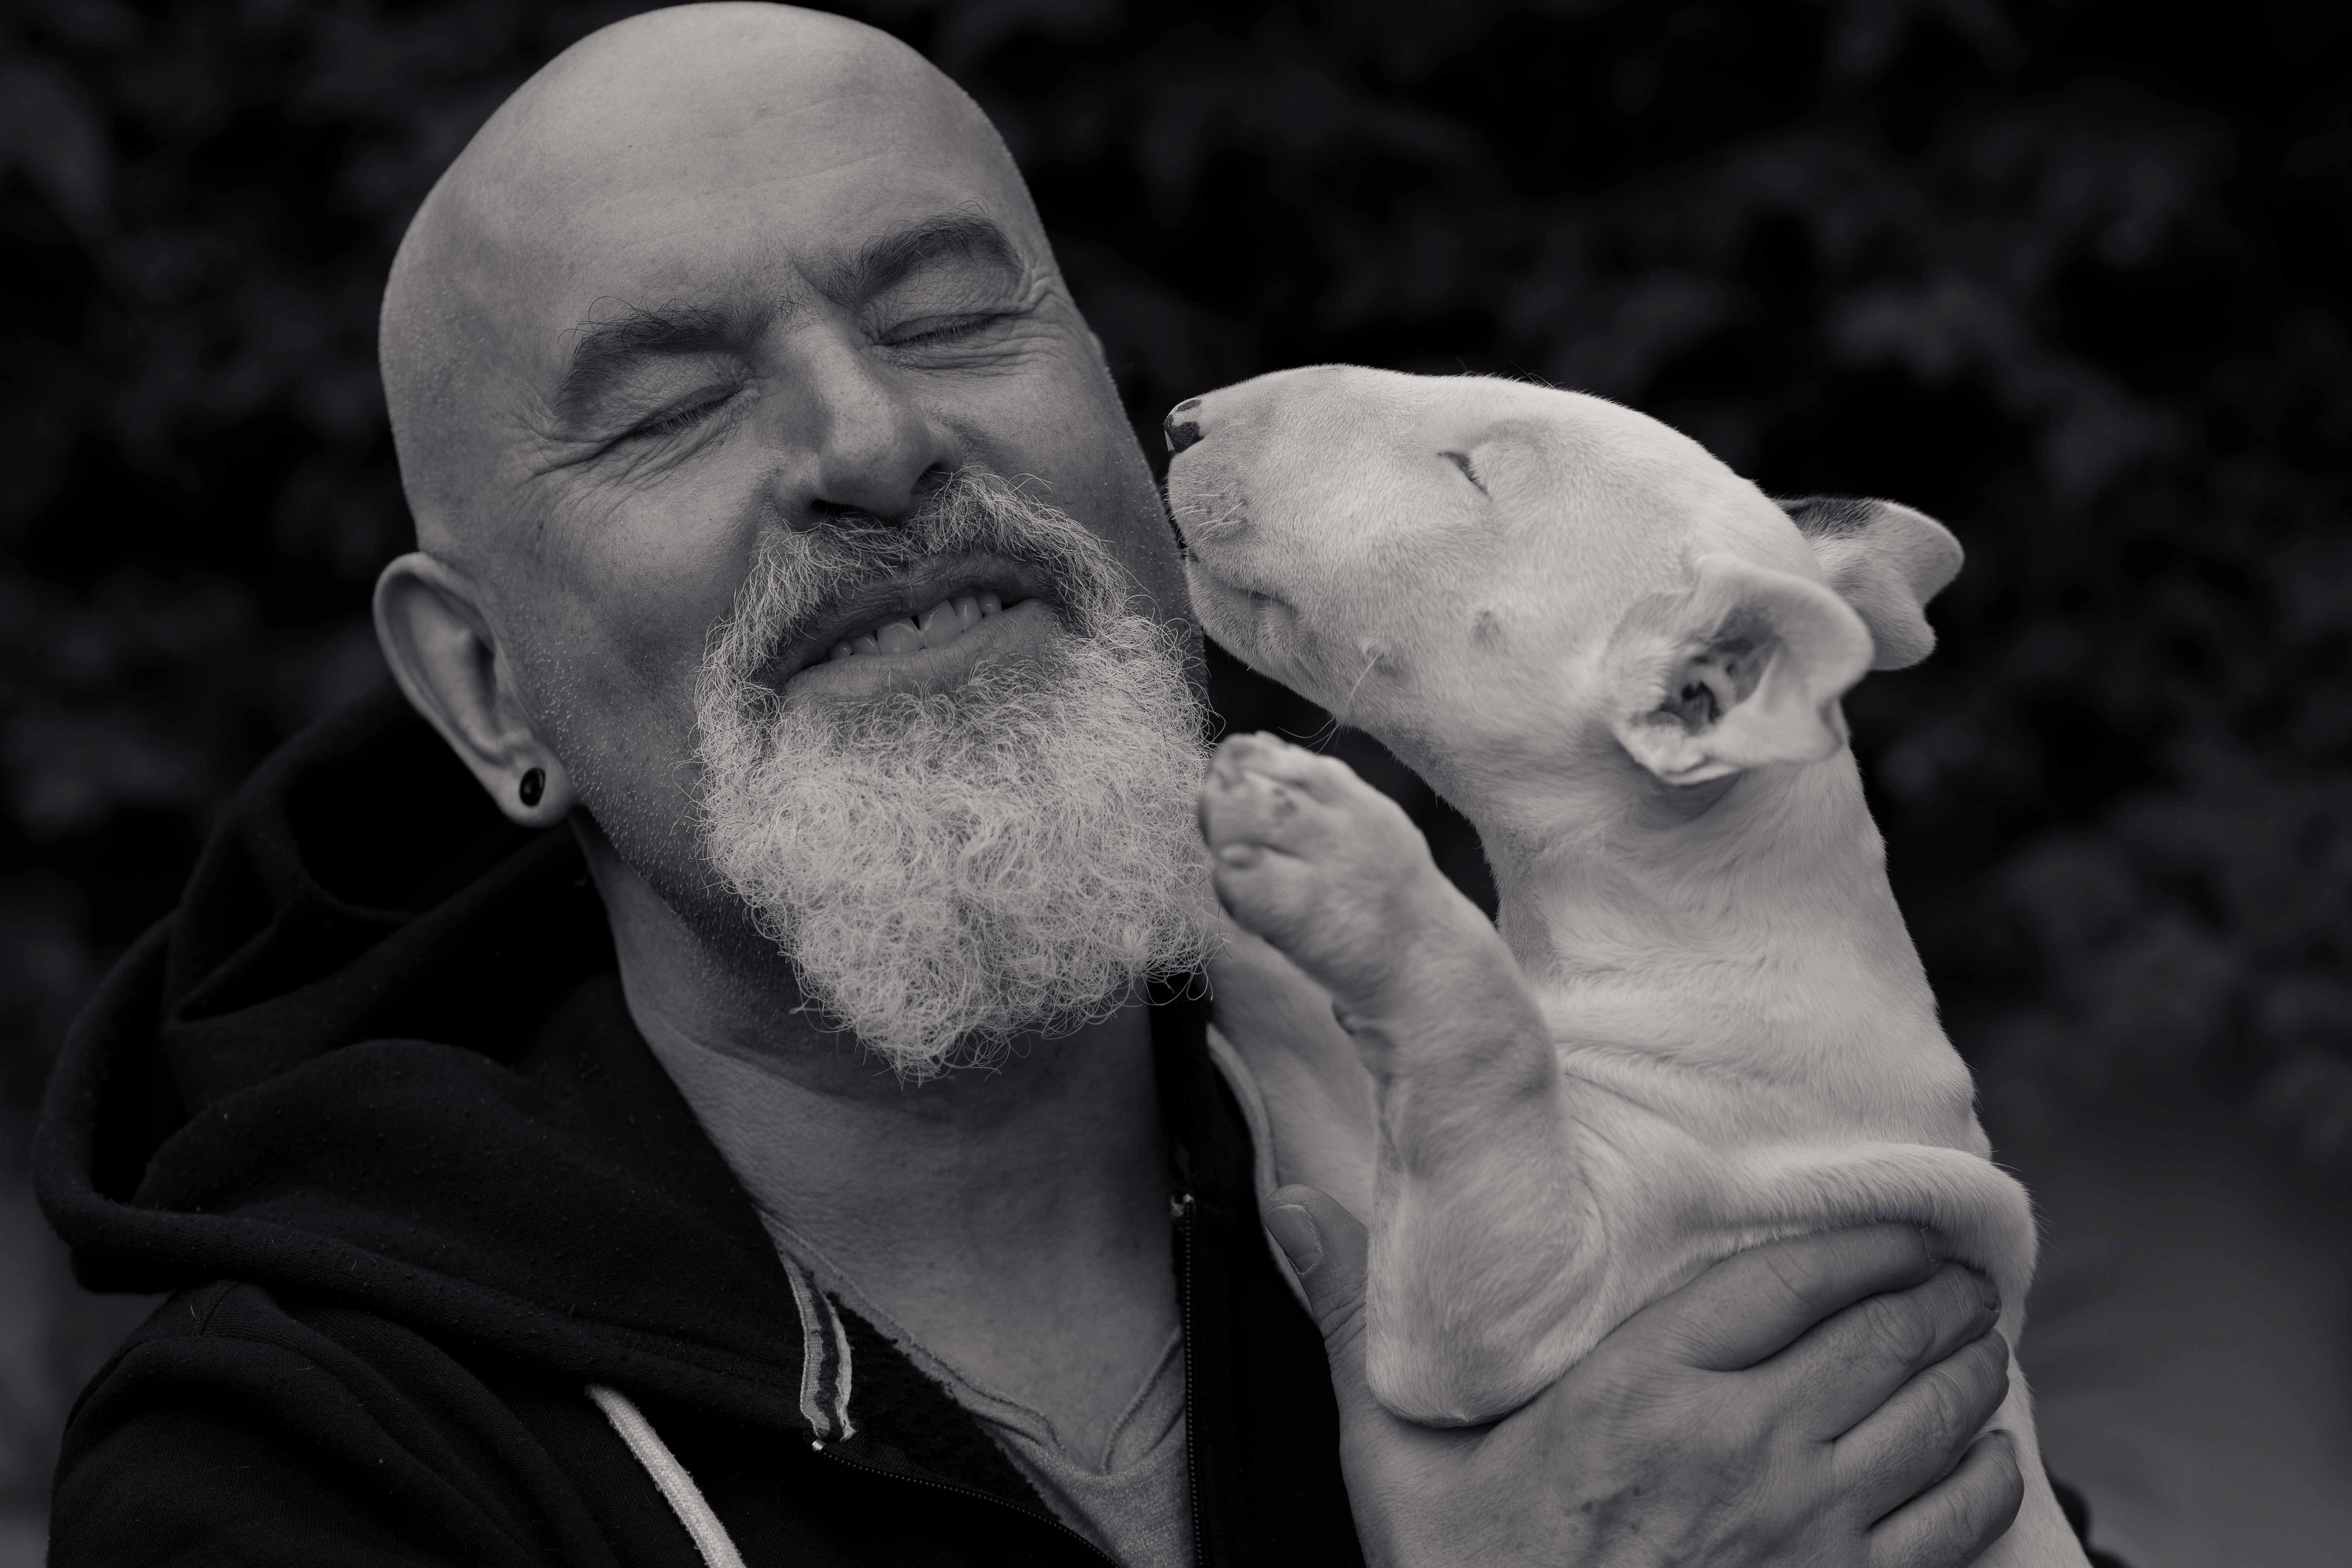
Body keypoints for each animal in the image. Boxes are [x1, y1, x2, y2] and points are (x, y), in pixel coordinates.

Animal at [1168, 365, 2084, 1565]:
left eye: (1473, 472)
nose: (1182, 424)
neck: (1689, 917)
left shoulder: (1585, 1280)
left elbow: (1488, 1056)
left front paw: (1332, 847)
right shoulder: (1359, 1162)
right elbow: (1309, 1065)